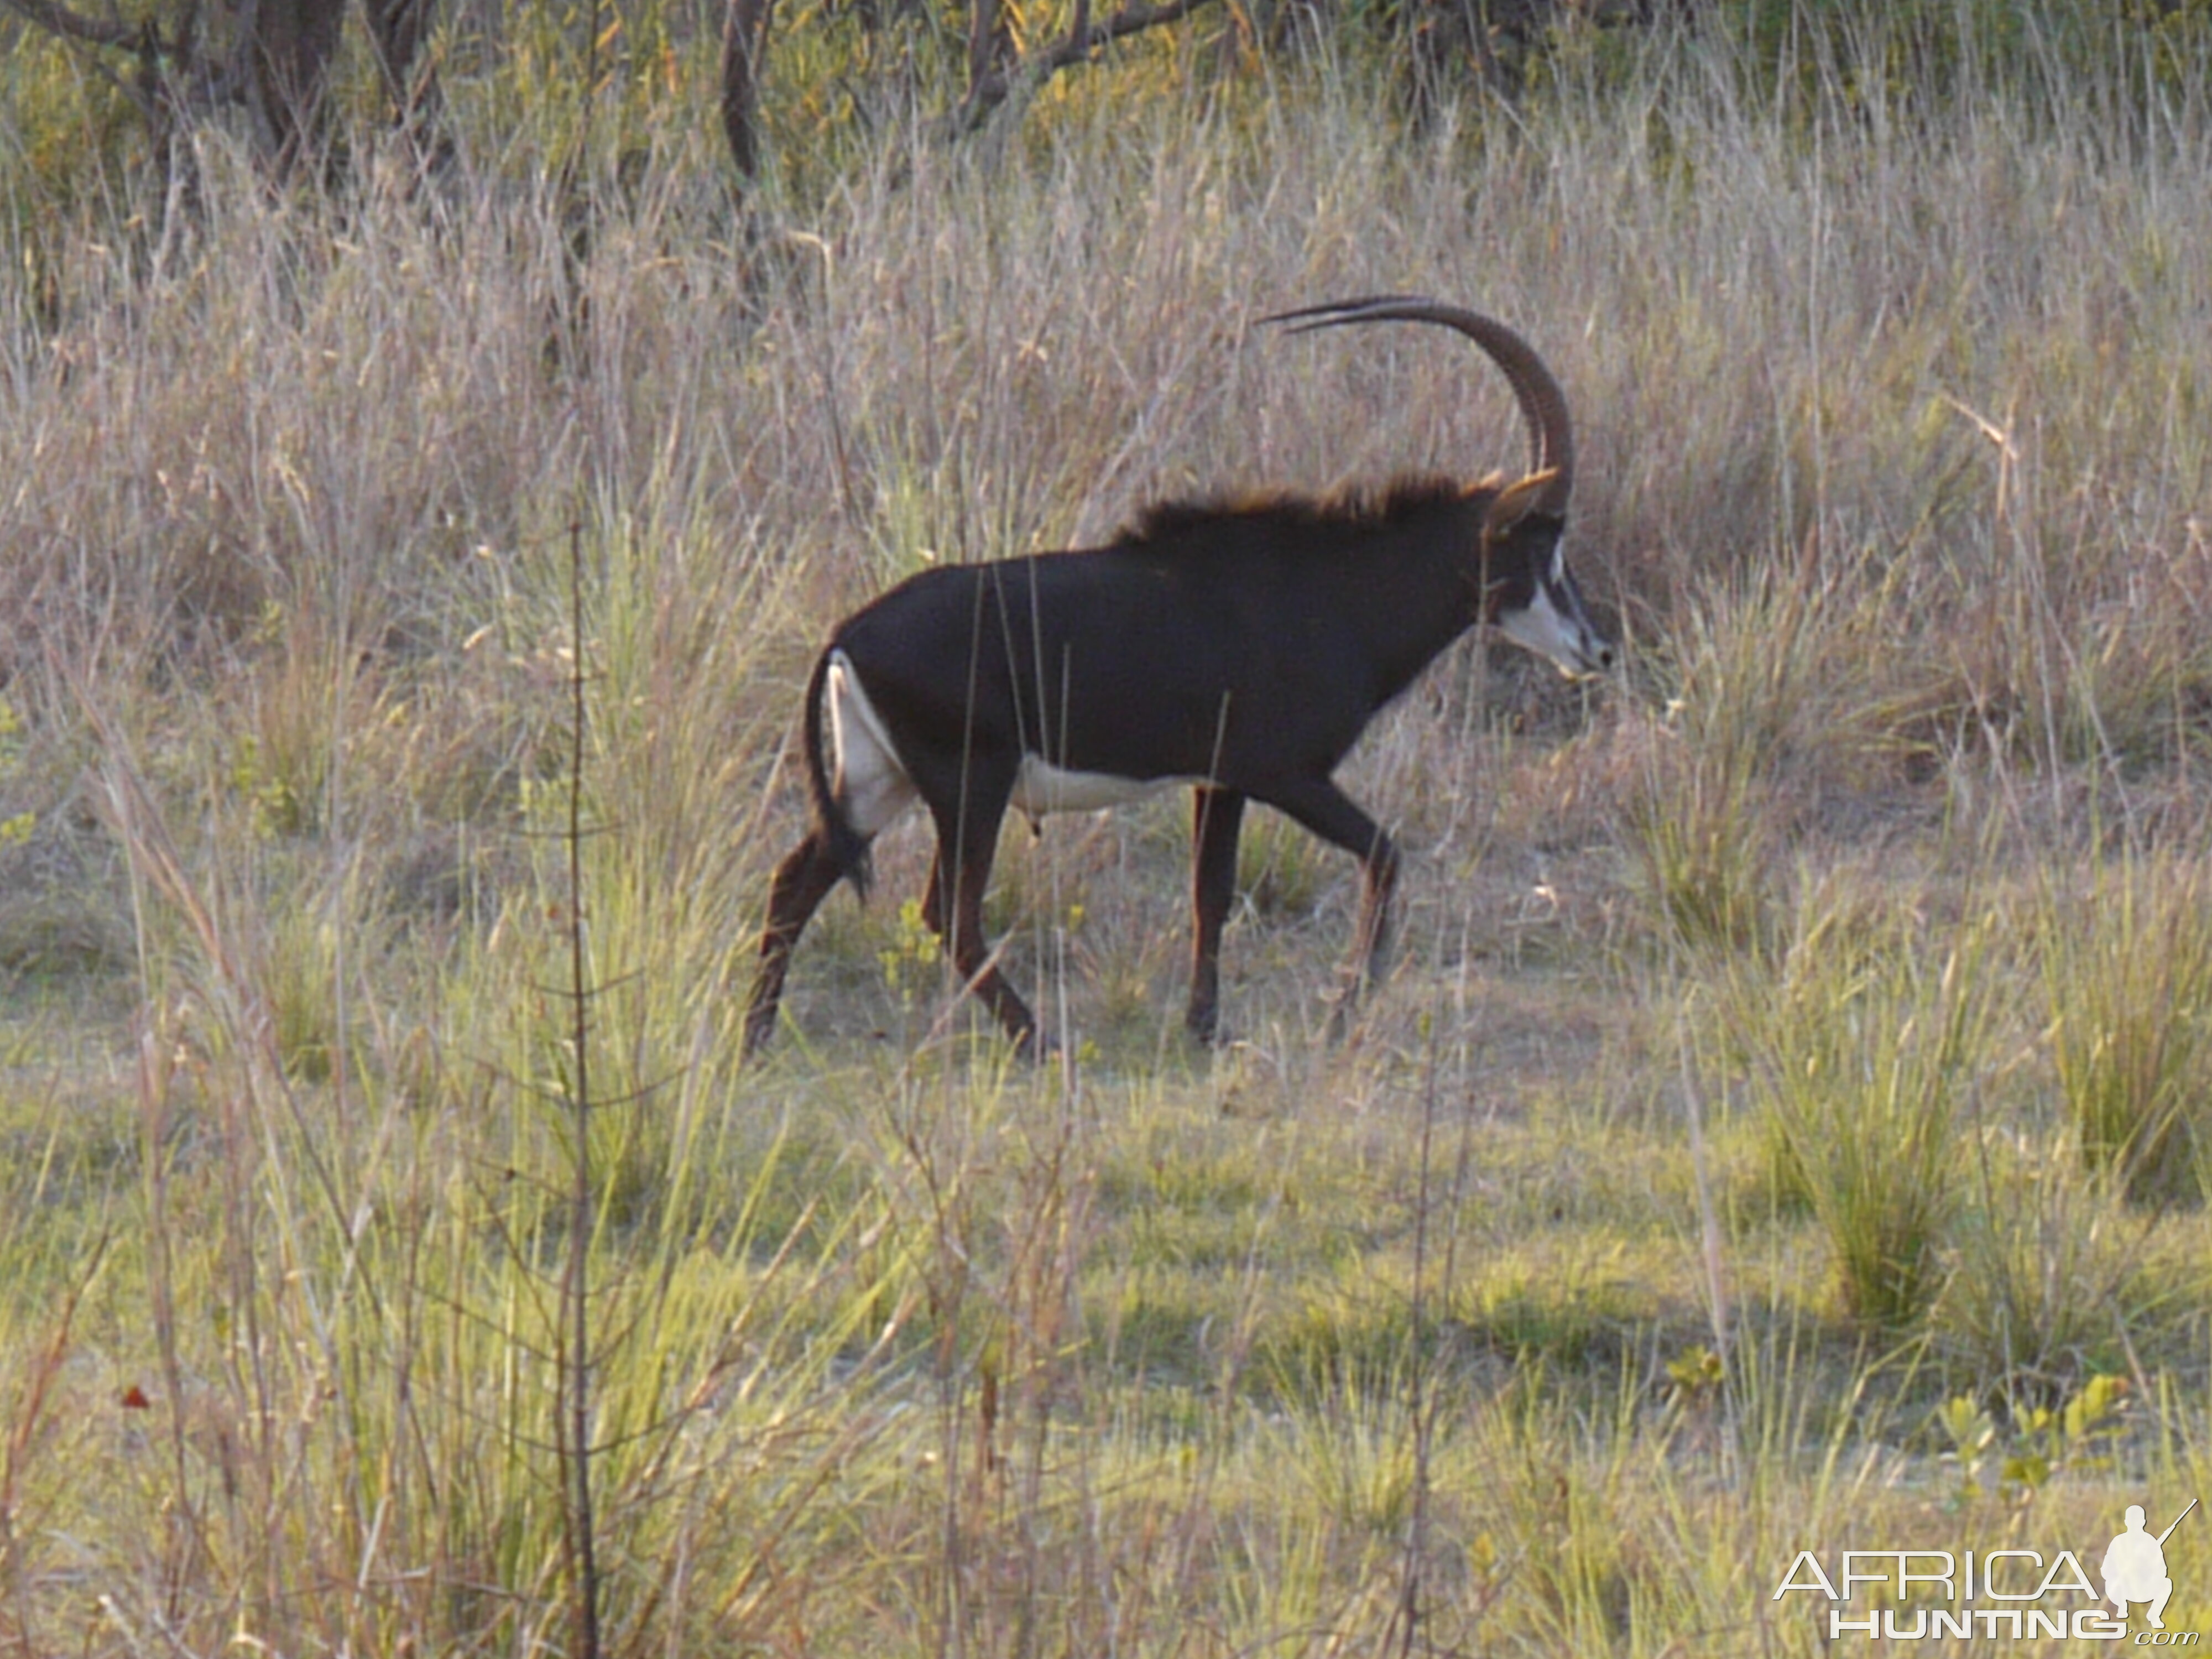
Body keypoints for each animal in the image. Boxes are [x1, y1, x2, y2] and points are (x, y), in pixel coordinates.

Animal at [743, 296, 1610, 1066]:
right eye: (1543, 544)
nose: (1596, 650)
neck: (1334, 592)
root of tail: (847, 634)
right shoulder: (1285, 774)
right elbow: (1385, 856)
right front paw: (1341, 1013)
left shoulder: (1219, 780)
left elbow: (1210, 894)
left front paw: (1206, 1028)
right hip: (969, 786)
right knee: (947, 912)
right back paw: (1039, 1044)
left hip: (878, 782)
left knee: (796, 881)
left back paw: (756, 1040)